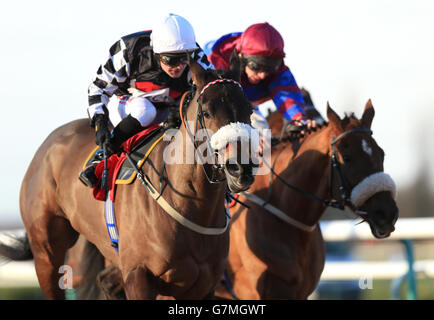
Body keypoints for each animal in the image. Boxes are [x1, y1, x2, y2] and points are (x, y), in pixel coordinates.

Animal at [3, 58, 260, 300]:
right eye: (206, 112)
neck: (189, 204)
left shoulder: (203, 285)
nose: (241, 168)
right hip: (46, 252)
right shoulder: (138, 275)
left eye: (249, 109)